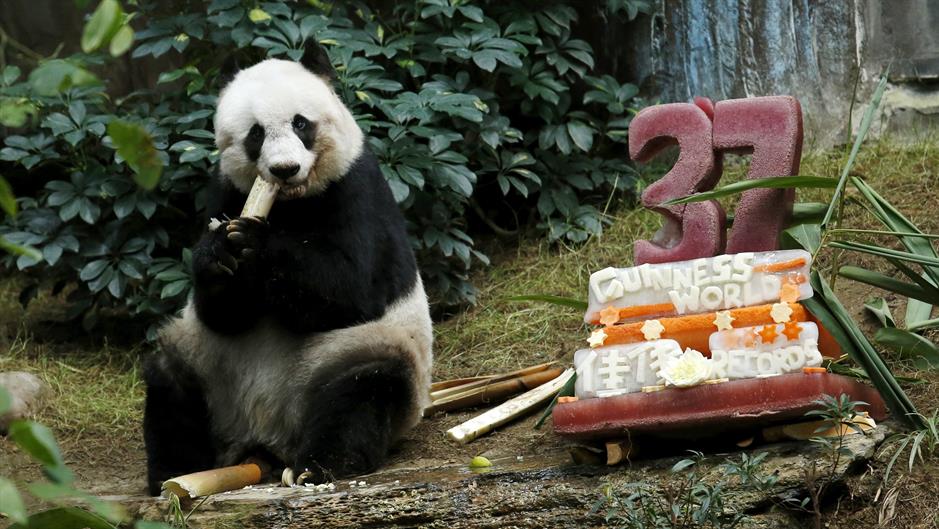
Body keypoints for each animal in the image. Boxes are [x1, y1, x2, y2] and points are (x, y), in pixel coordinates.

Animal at [142, 42, 433, 495]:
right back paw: (174, 472)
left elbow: (353, 289)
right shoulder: (225, 188)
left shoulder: (357, 187)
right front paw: (220, 252)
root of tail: (265, 438)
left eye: (301, 123)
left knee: (364, 389)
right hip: (208, 366)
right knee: (170, 380)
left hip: (350, 353)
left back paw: (319, 467)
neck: (290, 202)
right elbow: (220, 314)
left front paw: (255, 244)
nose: (284, 169)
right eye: (255, 134)